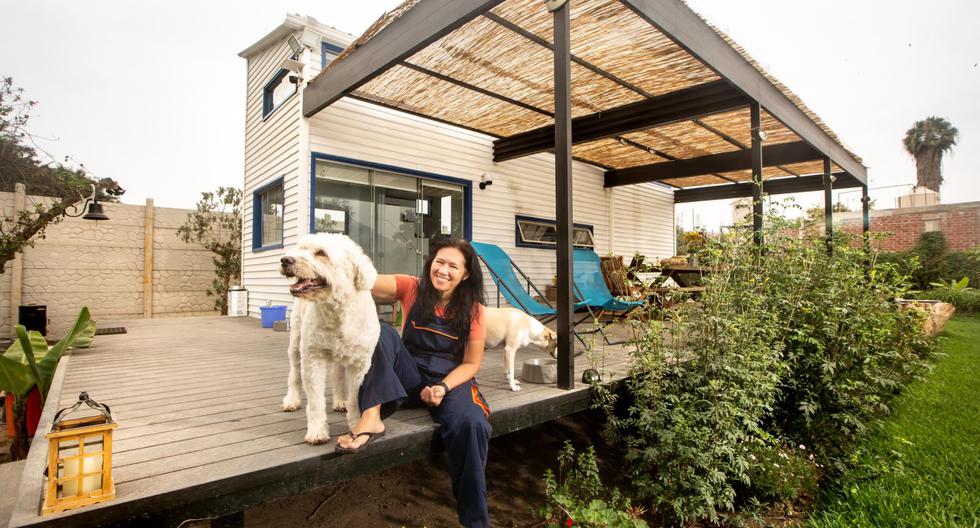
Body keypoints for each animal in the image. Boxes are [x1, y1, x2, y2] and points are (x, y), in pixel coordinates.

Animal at [282, 233, 380, 444]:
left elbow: (355, 398)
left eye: (321, 253)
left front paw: (356, 424)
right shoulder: (313, 359)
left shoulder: (359, 364)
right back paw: (291, 400)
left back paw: (340, 401)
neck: (337, 310)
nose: (285, 260)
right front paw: (317, 432)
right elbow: (315, 402)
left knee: (337, 375)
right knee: (294, 374)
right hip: (296, 343)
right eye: (300, 249)